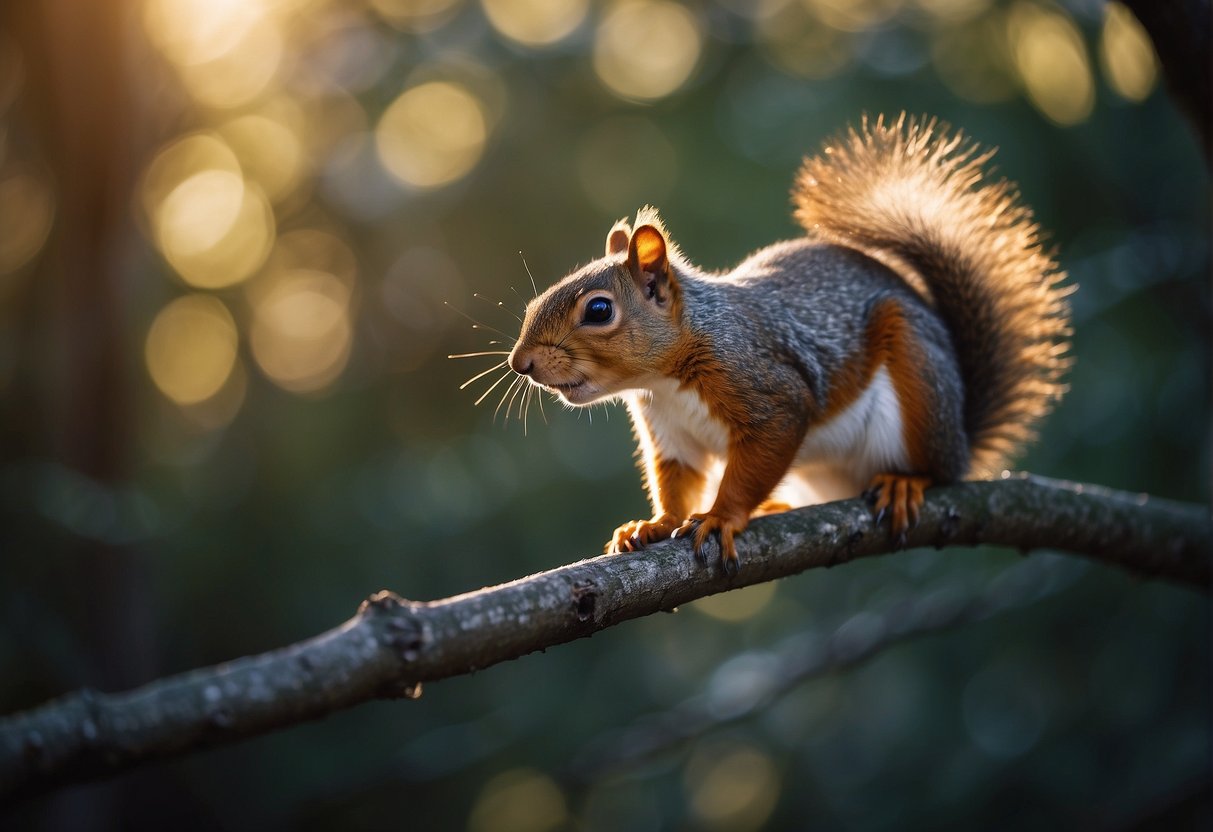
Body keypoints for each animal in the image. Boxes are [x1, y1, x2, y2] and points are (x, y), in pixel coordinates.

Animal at [505, 114, 1072, 572]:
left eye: (598, 310)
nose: (520, 363)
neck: (666, 377)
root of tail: (962, 433)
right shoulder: (670, 434)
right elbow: (677, 482)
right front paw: (656, 524)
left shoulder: (768, 389)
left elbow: (760, 454)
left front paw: (721, 517)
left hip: (921, 386)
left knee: (941, 470)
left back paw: (906, 482)